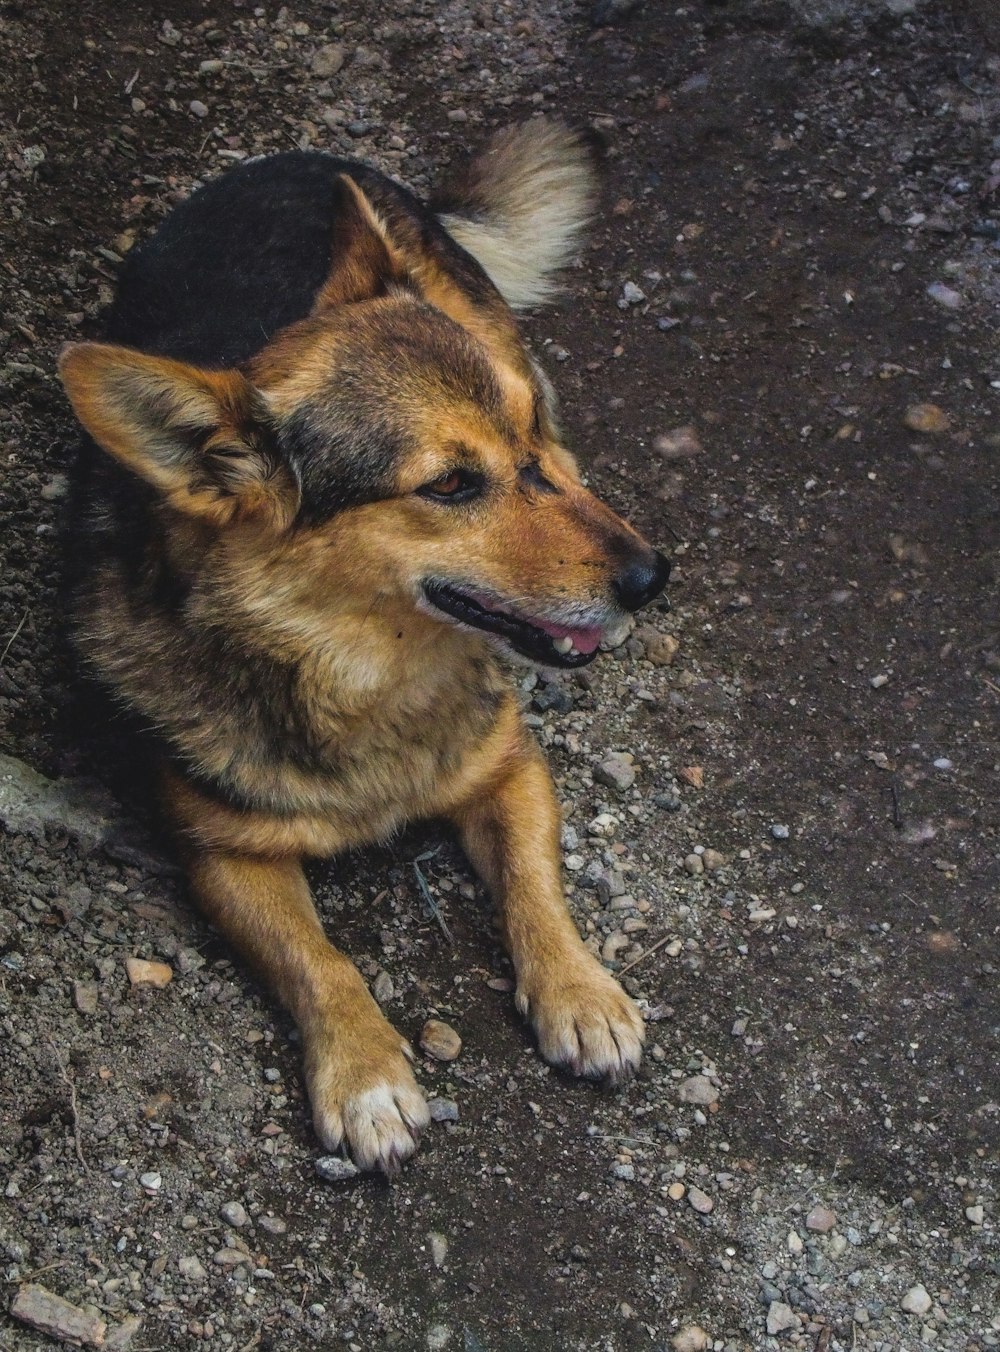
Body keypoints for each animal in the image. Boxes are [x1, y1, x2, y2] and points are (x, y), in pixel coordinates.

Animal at [60, 118, 672, 1173]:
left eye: (523, 434)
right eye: (451, 485)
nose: (652, 577)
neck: (369, 671)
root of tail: (297, 158)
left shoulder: (511, 766)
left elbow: (537, 888)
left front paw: (580, 990)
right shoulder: (222, 853)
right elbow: (320, 960)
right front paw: (366, 1074)